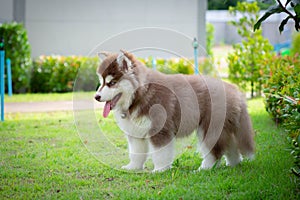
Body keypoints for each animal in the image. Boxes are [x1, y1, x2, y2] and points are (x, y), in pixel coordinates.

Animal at [95, 50, 254, 172]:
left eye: (112, 83)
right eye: (101, 83)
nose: (96, 97)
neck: (140, 95)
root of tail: (234, 89)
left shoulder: (160, 130)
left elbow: (160, 153)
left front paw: (159, 170)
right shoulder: (136, 133)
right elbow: (136, 153)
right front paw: (133, 167)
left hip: (210, 127)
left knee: (214, 150)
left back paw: (205, 168)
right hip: (224, 128)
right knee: (231, 146)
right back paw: (233, 164)